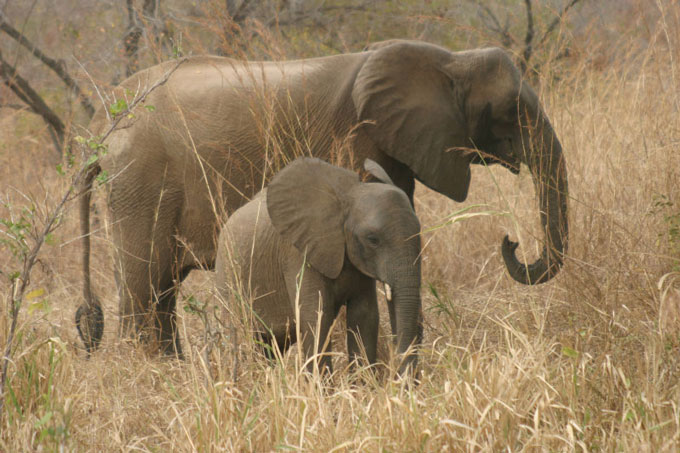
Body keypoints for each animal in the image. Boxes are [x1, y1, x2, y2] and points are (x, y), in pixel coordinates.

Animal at [215, 156, 422, 374]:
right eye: (373, 239)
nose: (399, 374)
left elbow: (365, 316)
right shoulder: (298, 253)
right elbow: (316, 316)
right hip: (227, 275)